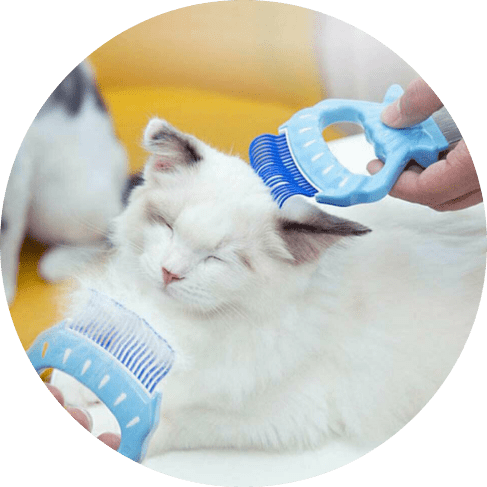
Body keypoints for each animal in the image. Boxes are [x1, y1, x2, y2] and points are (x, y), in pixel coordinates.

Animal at [54, 118, 486, 457]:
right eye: (168, 226)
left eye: (218, 259)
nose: (169, 273)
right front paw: (73, 384)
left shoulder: (280, 414)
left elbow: (167, 420)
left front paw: (106, 428)